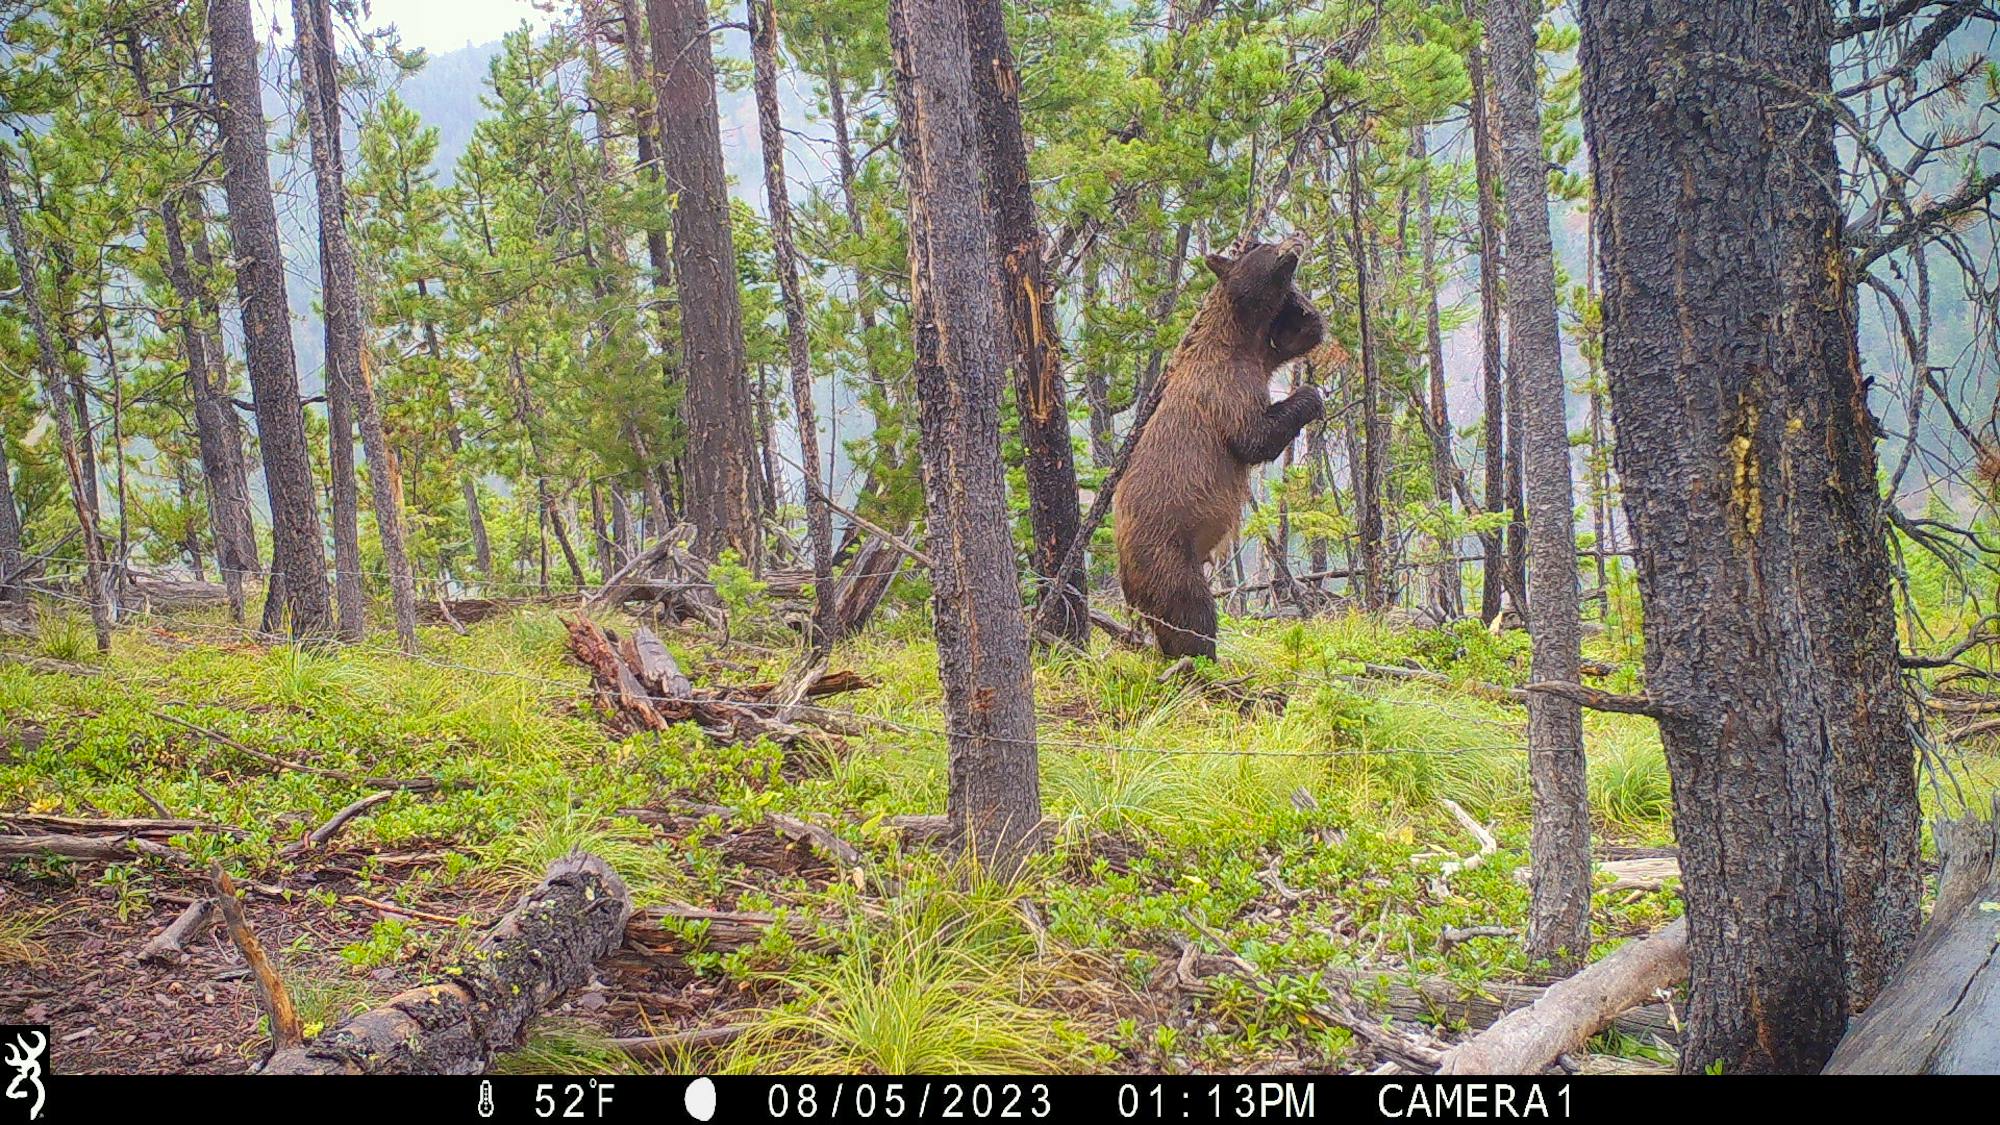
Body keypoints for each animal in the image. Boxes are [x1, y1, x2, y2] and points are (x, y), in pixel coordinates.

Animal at [1112, 234, 1328, 656]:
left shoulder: (1265, 352)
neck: (1239, 340)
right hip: (1165, 551)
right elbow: (1254, 438)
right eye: (1265, 249)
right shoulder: (1223, 388)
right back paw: (1204, 659)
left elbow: (1304, 334)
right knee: (1191, 609)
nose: (1296, 239)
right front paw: (1311, 397)